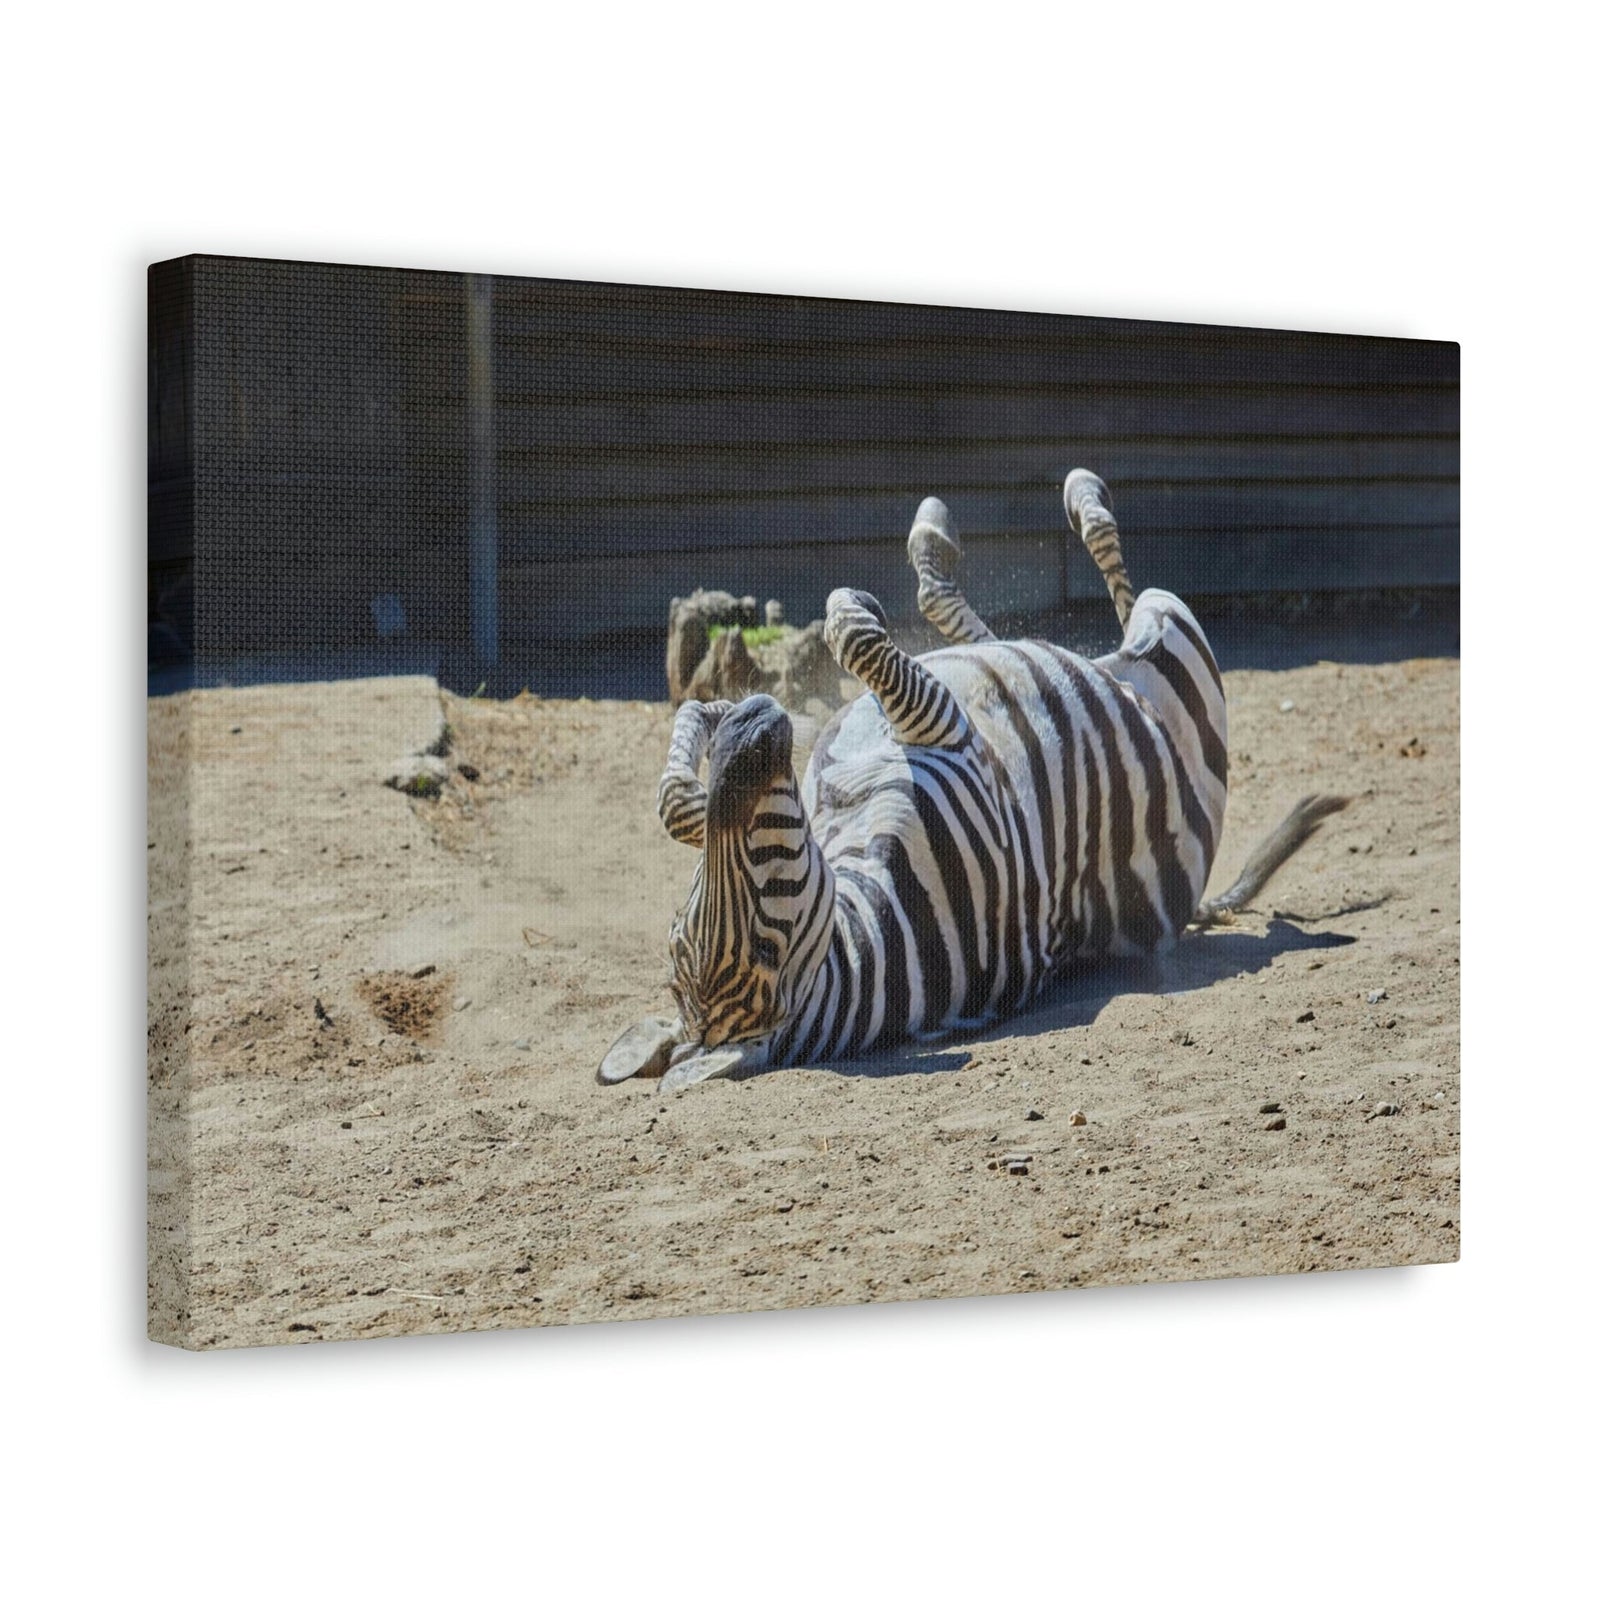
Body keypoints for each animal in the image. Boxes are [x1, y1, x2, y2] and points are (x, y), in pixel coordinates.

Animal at [601, 470, 1347, 1091]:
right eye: (762, 942)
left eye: (684, 926)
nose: (753, 724)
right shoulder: (947, 733)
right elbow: (850, 629)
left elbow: (677, 802)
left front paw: (706, 720)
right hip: (1178, 654)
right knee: (1121, 599)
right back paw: (1079, 499)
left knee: (984, 625)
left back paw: (944, 532)